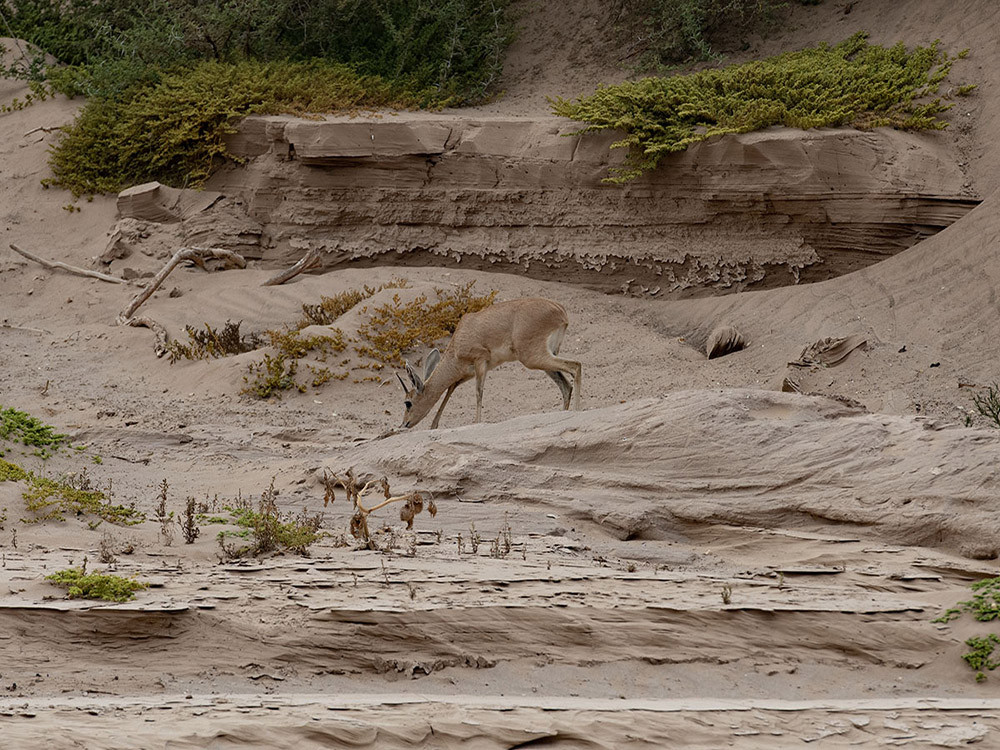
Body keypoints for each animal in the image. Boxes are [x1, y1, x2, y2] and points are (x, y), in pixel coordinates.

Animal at [396, 298, 584, 432]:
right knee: (566, 386)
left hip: (533, 357)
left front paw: (476, 423)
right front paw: (433, 426)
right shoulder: (465, 374)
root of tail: (559, 309)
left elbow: (478, 393)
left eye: (408, 403)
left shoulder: (480, 362)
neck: (458, 342)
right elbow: (450, 390)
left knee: (576, 366)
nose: (404, 424)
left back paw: (576, 413)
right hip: (545, 359)